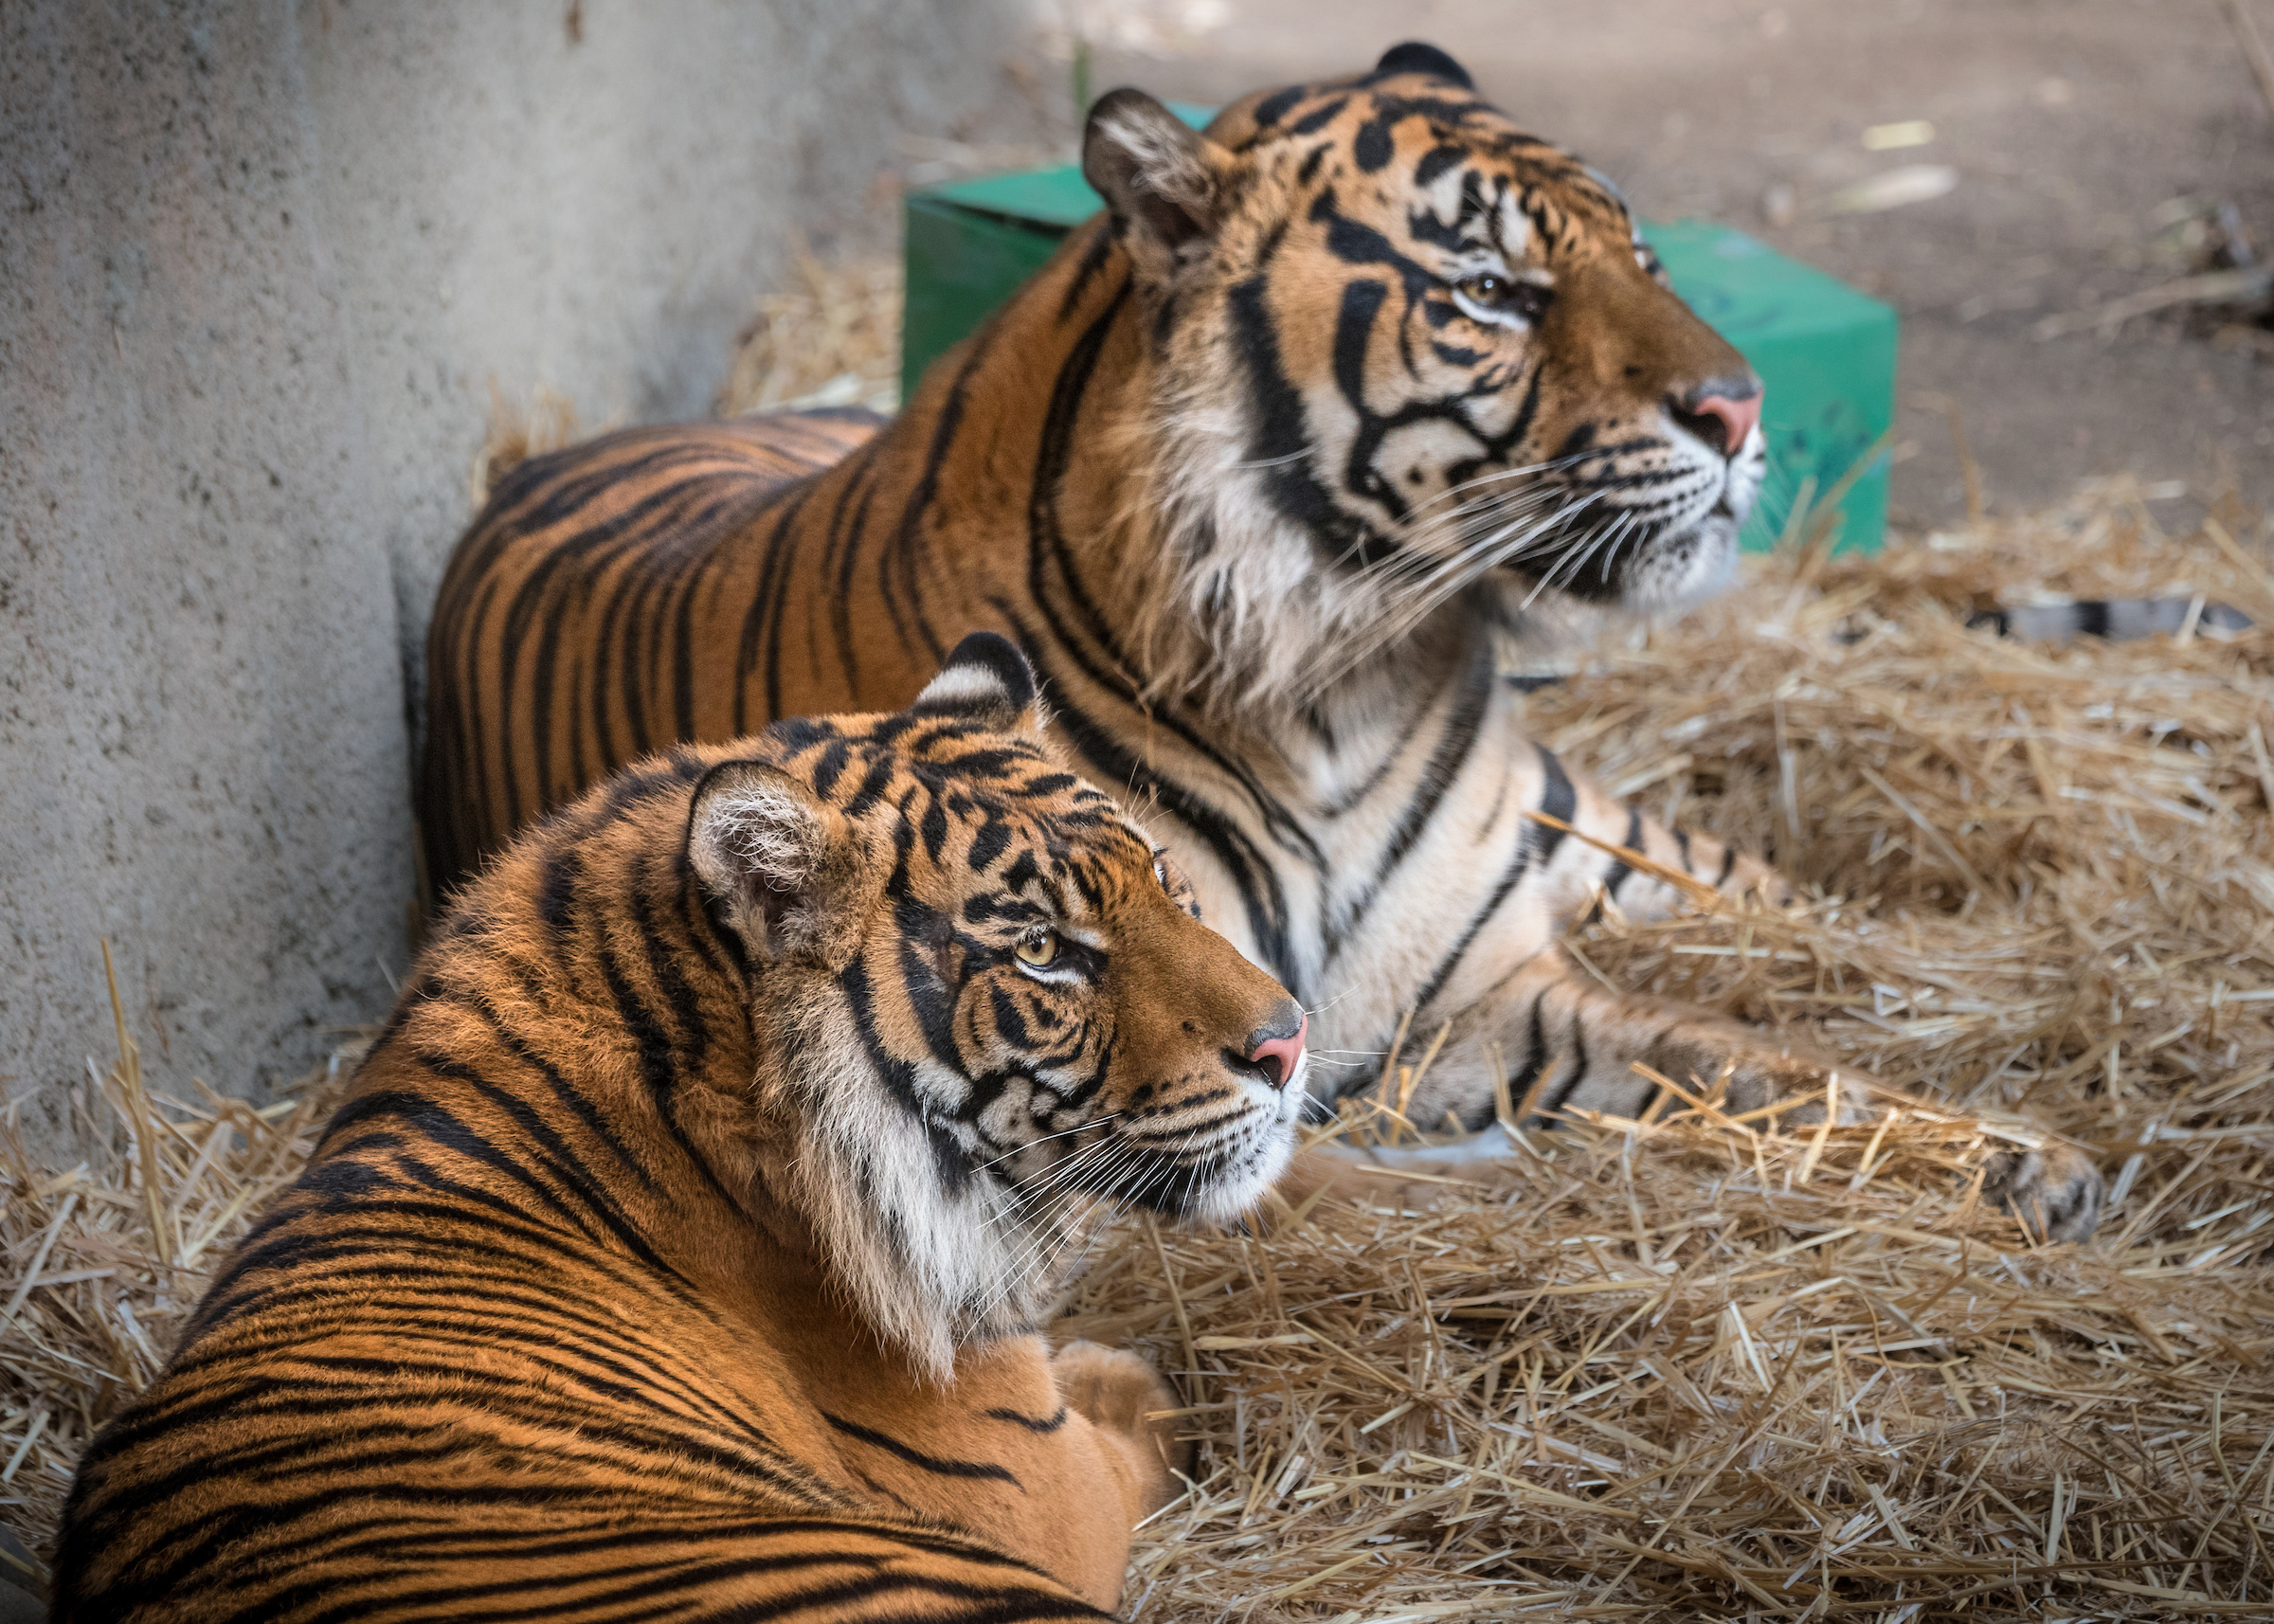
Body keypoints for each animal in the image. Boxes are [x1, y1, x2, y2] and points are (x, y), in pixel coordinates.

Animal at [56, 634, 1314, 1623]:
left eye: (1167, 883)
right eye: (1044, 950)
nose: (1290, 1041)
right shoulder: (1047, 1489)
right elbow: (1130, 1422)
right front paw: (1146, 1383)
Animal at [418, 42, 2101, 1240]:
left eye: (1649, 256)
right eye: (1489, 289)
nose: (1740, 409)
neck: (1350, 673)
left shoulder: (1473, 991)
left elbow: (1770, 1061)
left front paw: (2032, 1159)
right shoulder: (1207, 1063)